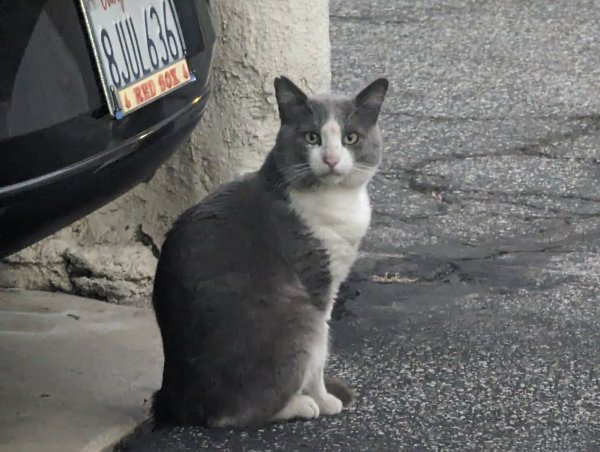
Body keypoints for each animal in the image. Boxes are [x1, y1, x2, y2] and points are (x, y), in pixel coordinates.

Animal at [151, 75, 390, 428]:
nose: (331, 159)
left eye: (350, 137)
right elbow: (320, 351)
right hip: (296, 317)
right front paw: (324, 399)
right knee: (227, 416)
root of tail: (176, 401)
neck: (337, 201)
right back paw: (299, 404)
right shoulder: (317, 282)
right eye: (312, 137)